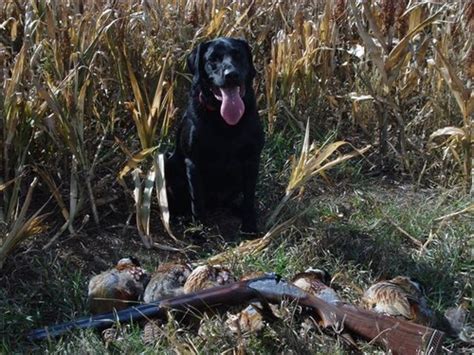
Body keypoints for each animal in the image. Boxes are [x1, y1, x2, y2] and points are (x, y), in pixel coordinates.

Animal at [166, 37, 262, 235]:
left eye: (238, 55)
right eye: (213, 60)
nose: (231, 74)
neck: (223, 120)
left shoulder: (252, 159)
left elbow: (249, 197)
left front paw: (249, 226)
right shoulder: (193, 162)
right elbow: (197, 202)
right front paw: (198, 233)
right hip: (166, 161)